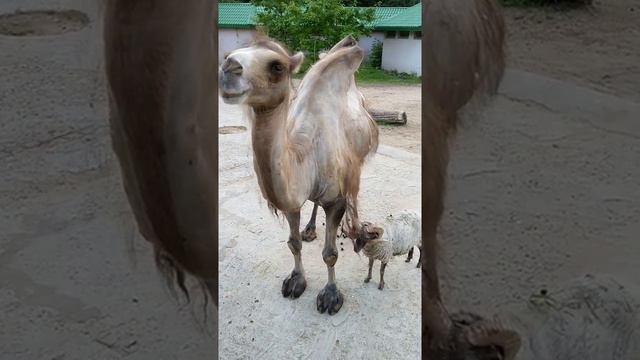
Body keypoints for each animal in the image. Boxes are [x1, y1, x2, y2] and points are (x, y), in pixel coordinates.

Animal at [220, 35, 380, 314]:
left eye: (277, 66)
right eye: (227, 55)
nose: (229, 68)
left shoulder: (336, 199)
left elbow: (330, 254)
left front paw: (331, 295)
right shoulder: (290, 201)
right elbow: (293, 243)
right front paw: (295, 280)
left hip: (359, 158)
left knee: (355, 192)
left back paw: (356, 231)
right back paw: (310, 229)